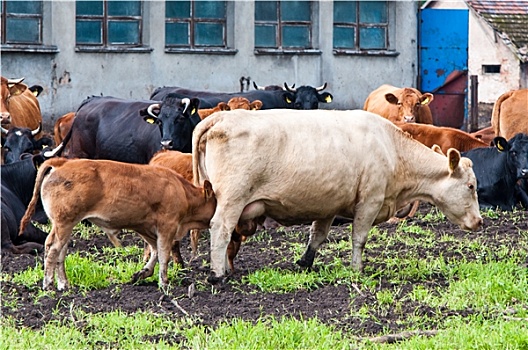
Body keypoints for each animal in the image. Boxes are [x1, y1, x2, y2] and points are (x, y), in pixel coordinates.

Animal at [19, 159, 216, 290]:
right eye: (215, 201)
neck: (182, 191)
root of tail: (63, 162)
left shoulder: (145, 227)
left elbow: (154, 250)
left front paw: (142, 273)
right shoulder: (168, 226)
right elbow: (163, 254)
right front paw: (164, 283)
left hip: (65, 225)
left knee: (61, 252)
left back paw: (63, 284)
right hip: (63, 223)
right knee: (52, 249)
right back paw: (48, 284)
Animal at [193, 108, 482, 284]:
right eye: (471, 186)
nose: (480, 222)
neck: (391, 149)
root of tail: (220, 118)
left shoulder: (328, 205)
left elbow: (317, 236)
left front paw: (305, 262)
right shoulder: (370, 201)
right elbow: (359, 239)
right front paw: (357, 269)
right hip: (232, 198)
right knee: (221, 229)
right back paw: (217, 274)